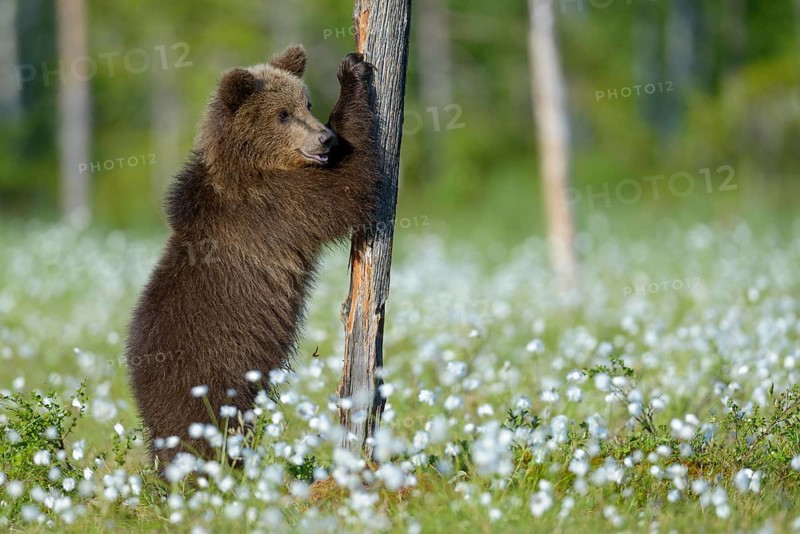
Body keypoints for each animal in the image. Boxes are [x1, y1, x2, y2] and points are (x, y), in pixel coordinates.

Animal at [125, 45, 379, 468]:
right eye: (283, 113)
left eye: (306, 103)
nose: (325, 139)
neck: (253, 165)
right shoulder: (274, 206)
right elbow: (347, 186)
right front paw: (352, 73)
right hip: (211, 379)